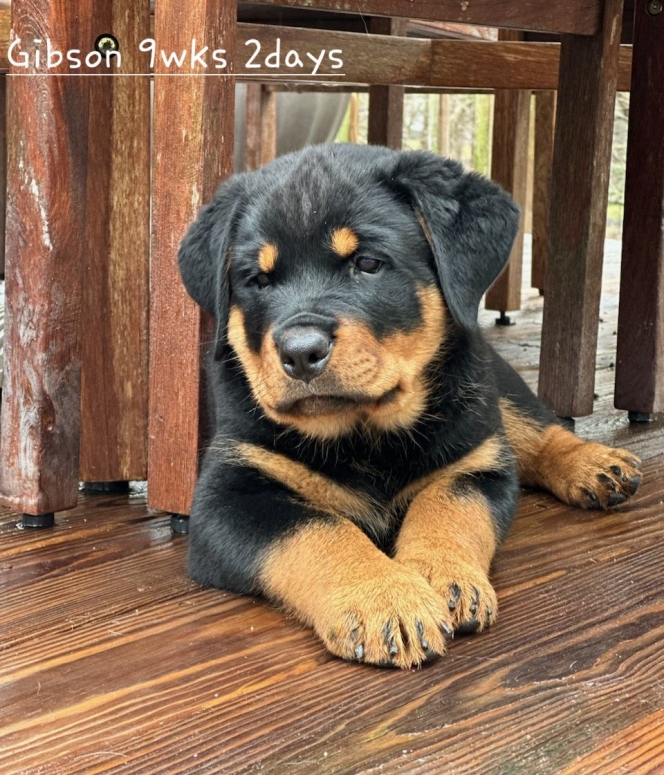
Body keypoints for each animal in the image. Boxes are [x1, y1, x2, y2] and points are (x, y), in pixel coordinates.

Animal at [178, 144, 642, 669]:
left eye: (368, 263)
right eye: (257, 280)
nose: (299, 352)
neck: (365, 433)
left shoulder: (477, 465)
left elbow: (447, 505)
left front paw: (442, 576)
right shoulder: (228, 497)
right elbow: (318, 528)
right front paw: (384, 599)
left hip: (490, 384)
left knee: (533, 426)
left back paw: (594, 464)